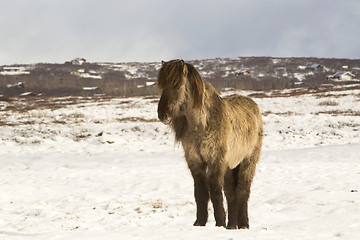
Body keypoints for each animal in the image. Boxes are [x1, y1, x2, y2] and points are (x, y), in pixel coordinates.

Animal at [156, 59, 262, 229]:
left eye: (177, 84)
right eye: (161, 86)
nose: (162, 115)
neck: (201, 123)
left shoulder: (215, 161)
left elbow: (215, 191)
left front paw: (220, 223)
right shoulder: (195, 161)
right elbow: (200, 191)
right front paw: (200, 222)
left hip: (248, 161)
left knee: (243, 191)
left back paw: (243, 224)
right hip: (230, 166)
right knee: (231, 194)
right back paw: (232, 225)